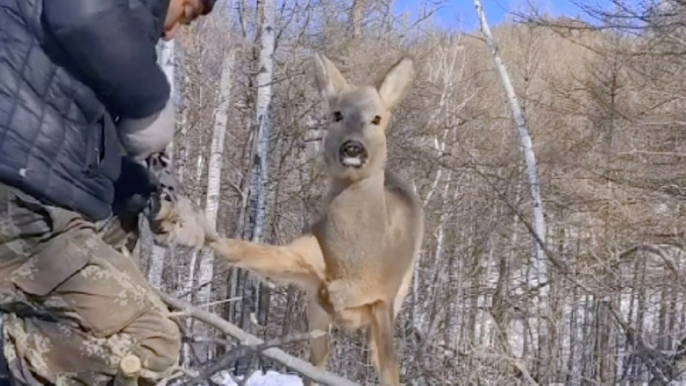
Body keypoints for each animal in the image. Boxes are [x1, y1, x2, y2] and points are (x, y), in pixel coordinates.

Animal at [210, 52, 424, 386]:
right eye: (337, 114)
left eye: (376, 119)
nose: (353, 147)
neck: (358, 257)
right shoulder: (308, 258)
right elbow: (258, 253)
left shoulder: (384, 293)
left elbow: (390, 368)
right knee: (317, 362)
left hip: (401, 290)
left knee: (381, 359)